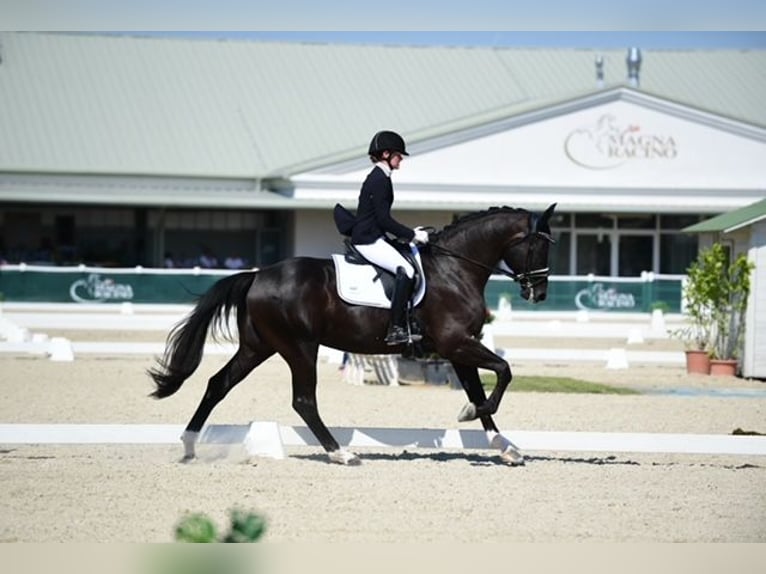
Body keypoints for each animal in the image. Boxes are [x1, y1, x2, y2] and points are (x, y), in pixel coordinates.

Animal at [148, 205, 560, 466]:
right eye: (539, 244)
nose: (538, 293)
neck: (454, 269)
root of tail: (257, 275)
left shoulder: (459, 348)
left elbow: (481, 387)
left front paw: (504, 446)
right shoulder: (456, 342)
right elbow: (504, 371)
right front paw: (472, 413)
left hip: (258, 347)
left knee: (218, 384)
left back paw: (189, 447)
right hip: (299, 348)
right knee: (304, 401)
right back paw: (341, 453)